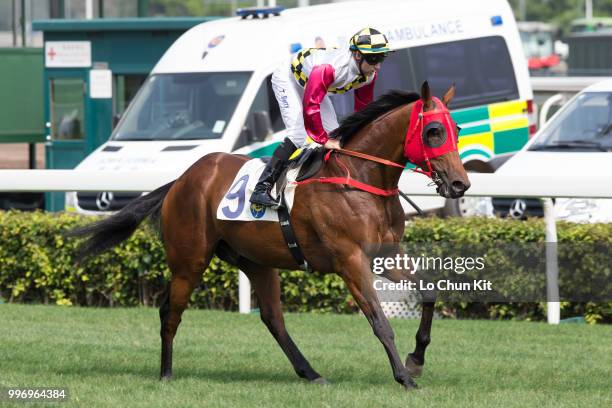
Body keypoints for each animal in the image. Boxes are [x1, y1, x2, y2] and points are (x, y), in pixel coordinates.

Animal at [73, 81, 474, 390]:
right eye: (433, 132)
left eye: (456, 130)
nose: (460, 184)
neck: (359, 177)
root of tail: (181, 180)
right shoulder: (350, 259)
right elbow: (378, 320)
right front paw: (404, 377)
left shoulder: (384, 254)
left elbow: (429, 291)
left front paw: (416, 358)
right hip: (190, 260)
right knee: (171, 311)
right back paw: (166, 373)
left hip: (257, 262)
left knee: (272, 318)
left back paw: (310, 373)